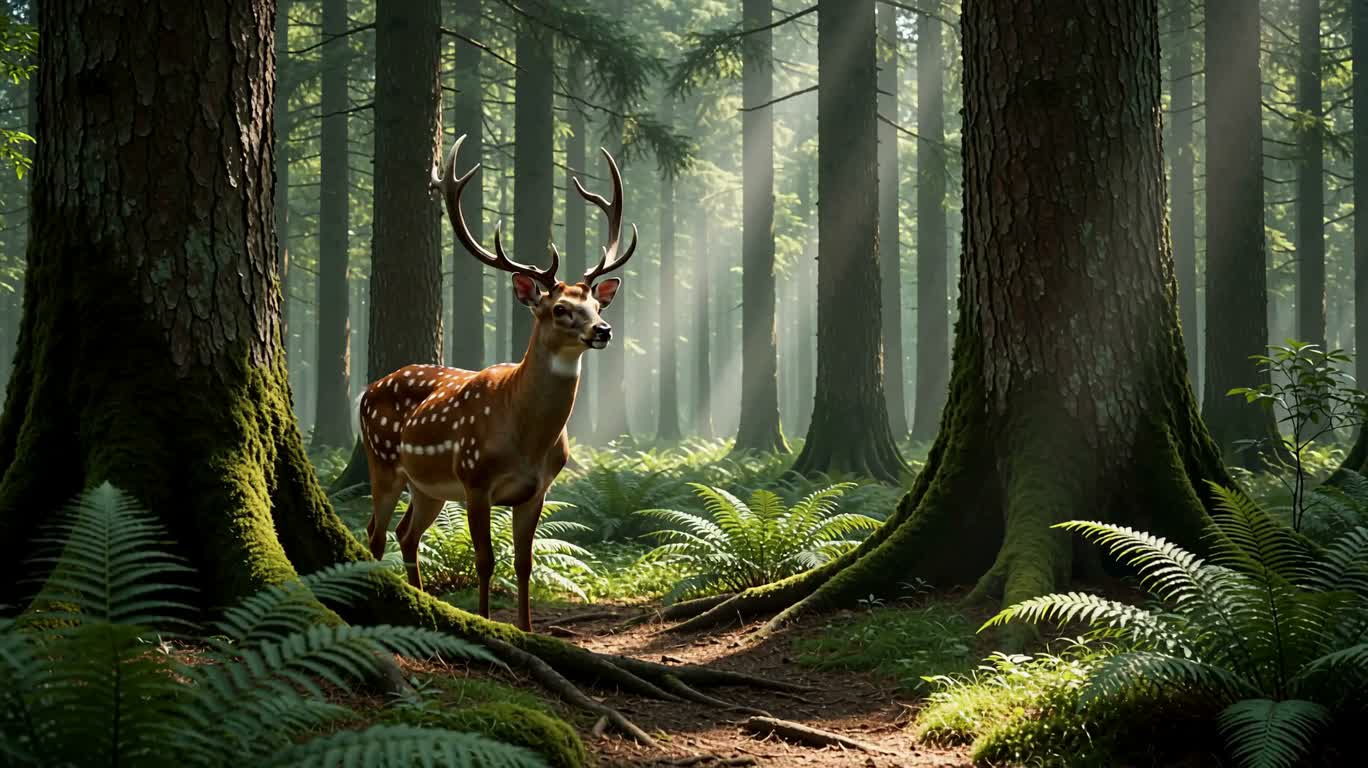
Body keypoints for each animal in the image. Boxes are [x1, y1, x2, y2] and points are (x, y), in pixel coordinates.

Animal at [356, 134, 637, 632]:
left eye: (596, 306)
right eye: (559, 309)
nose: (602, 331)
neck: (524, 439)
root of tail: (367, 390)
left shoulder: (538, 489)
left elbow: (524, 563)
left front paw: (526, 629)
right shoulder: (475, 479)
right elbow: (485, 560)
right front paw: (487, 622)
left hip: (427, 486)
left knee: (406, 534)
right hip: (383, 460)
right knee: (375, 532)